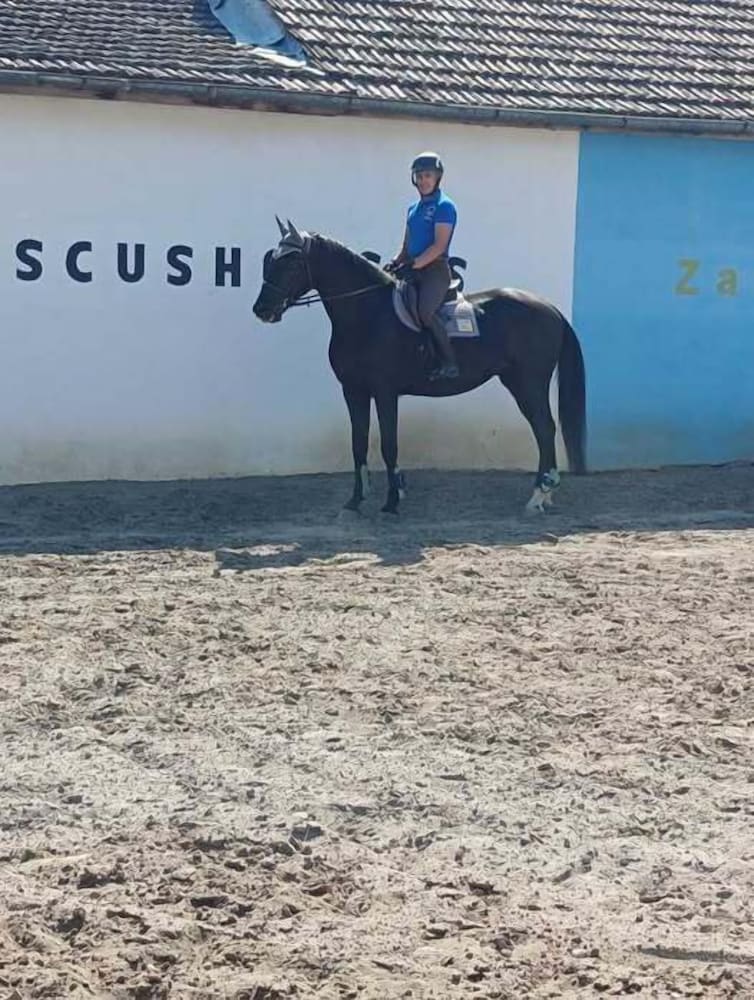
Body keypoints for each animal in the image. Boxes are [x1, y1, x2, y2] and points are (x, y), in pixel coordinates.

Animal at [252, 218, 587, 516]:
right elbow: (358, 444)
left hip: (528, 383)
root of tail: (549, 308)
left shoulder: (385, 392)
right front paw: (355, 501)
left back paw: (539, 494)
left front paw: (392, 501)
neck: (367, 315)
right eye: (271, 260)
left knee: (544, 428)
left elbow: (389, 445)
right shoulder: (353, 391)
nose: (262, 310)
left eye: (292, 263)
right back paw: (544, 494)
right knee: (542, 430)